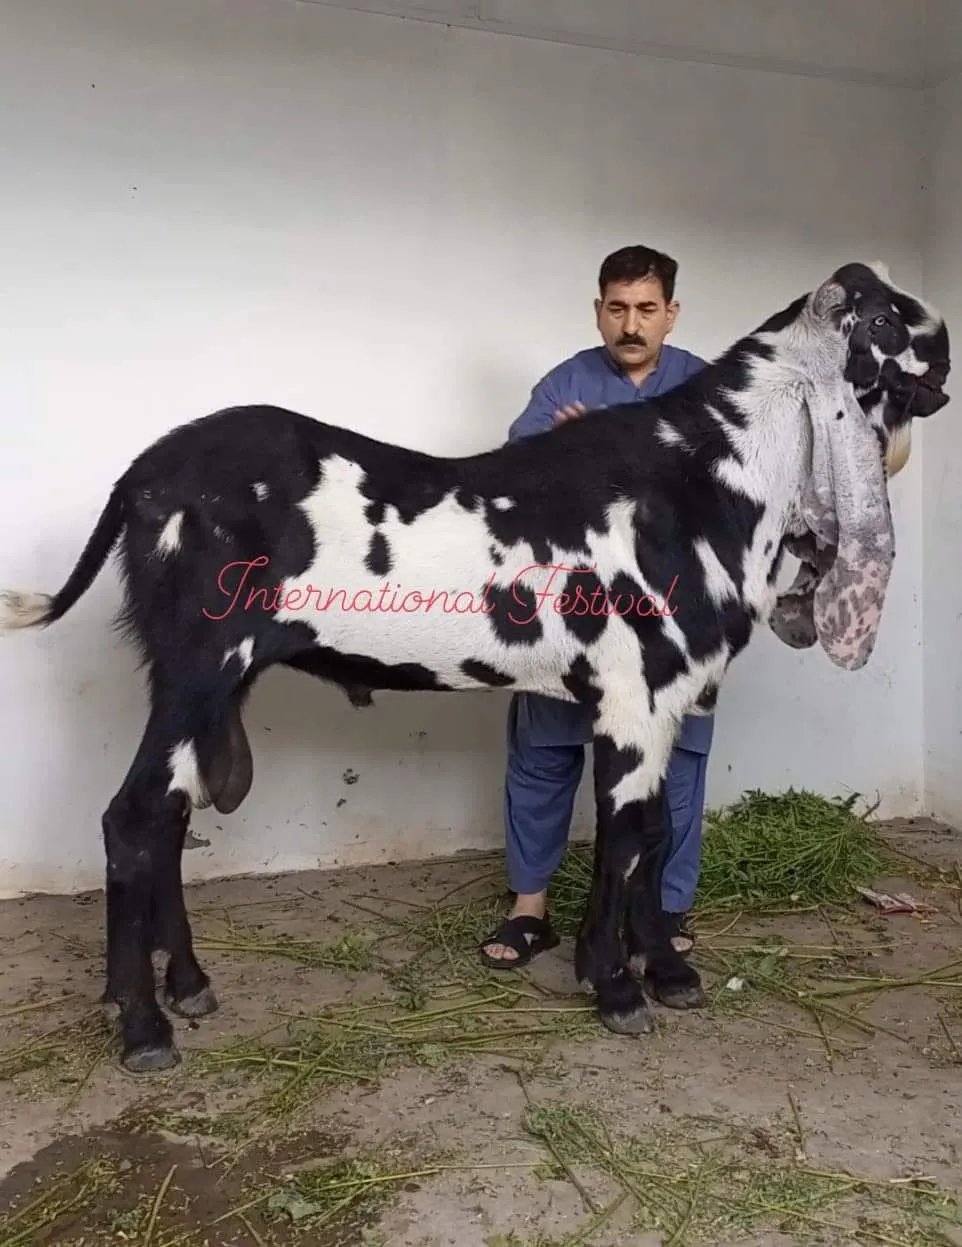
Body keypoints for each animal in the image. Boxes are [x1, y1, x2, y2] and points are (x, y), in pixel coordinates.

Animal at [0, 261, 951, 1074]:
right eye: (887, 318)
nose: (945, 356)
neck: (703, 477)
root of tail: (142, 477)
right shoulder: (634, 694)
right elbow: (627, 836)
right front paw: (615, 986)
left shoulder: (668, 697)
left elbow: (659, 831)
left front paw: (667, 972)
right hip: (199, 663)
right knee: (131, 819)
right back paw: (143, 1027)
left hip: (206, 682)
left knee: (166, 816)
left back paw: (189, 987)